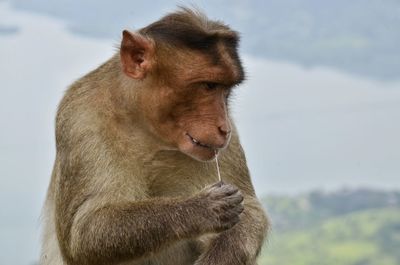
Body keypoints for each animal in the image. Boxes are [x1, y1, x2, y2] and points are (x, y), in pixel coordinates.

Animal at [39, 7, 268, 262]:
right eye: (208, 86)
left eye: (227, 89)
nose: (224, 128)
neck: (148, 130)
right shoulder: (80, 118)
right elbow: (83, 233)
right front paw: (201, 209)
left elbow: (251, 211)